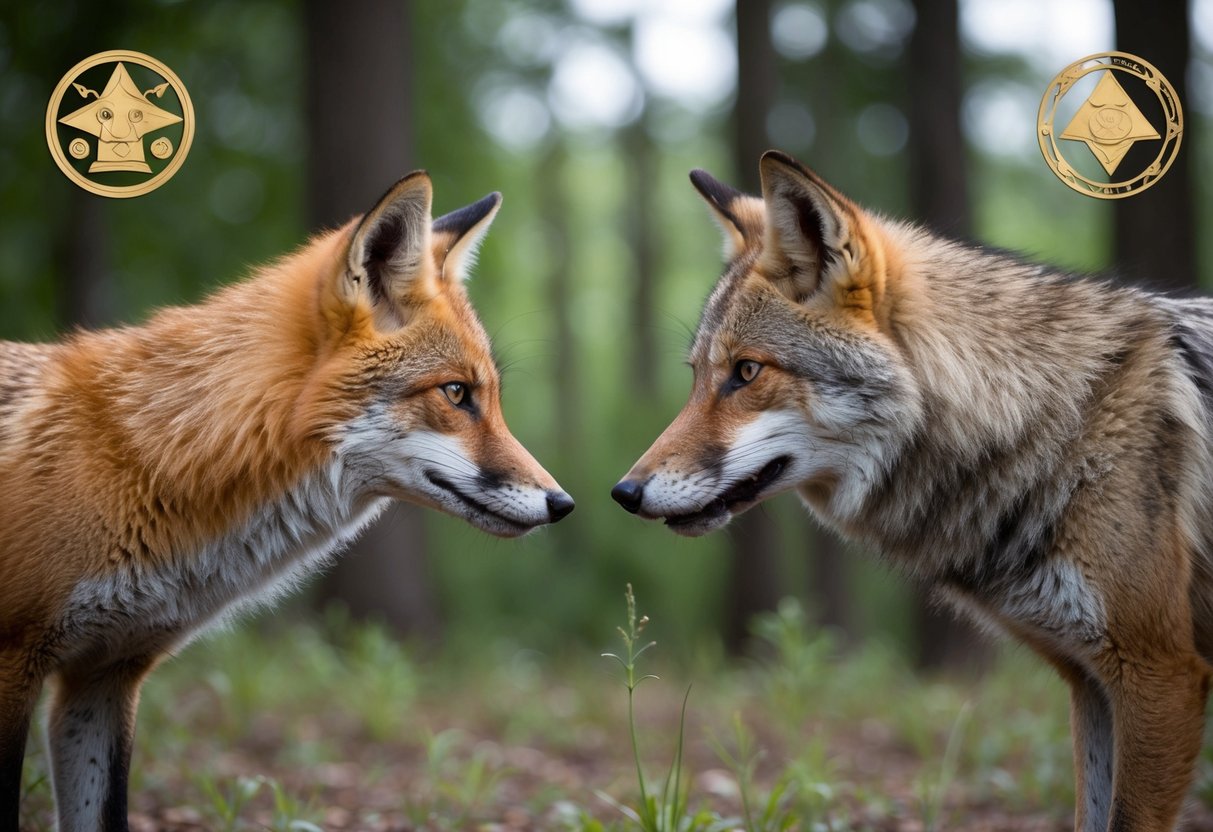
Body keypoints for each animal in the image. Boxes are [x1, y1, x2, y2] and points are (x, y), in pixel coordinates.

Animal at [0, 171, 574, 832]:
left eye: (491, 396)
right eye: (456, 393)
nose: (563, 503)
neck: (149, 459)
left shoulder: (103, 677)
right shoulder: (16, 660)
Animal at [612, 149, 1213, 832]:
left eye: (745, 371)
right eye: (695, 377)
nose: (624, 491)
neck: (1056, 421)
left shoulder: (1158, 674)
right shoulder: (1091, 682)